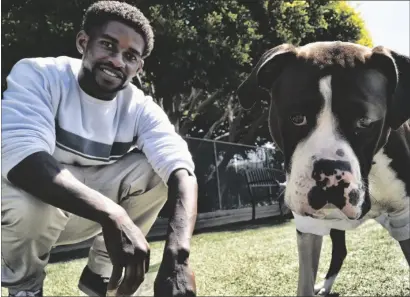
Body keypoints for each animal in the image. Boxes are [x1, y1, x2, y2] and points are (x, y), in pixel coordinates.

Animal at [237, 41, 410, 294]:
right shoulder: (308, 226)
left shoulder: (404, 218)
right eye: (297, 118)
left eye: (365, 122)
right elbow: (304, 284)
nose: (330, 173)